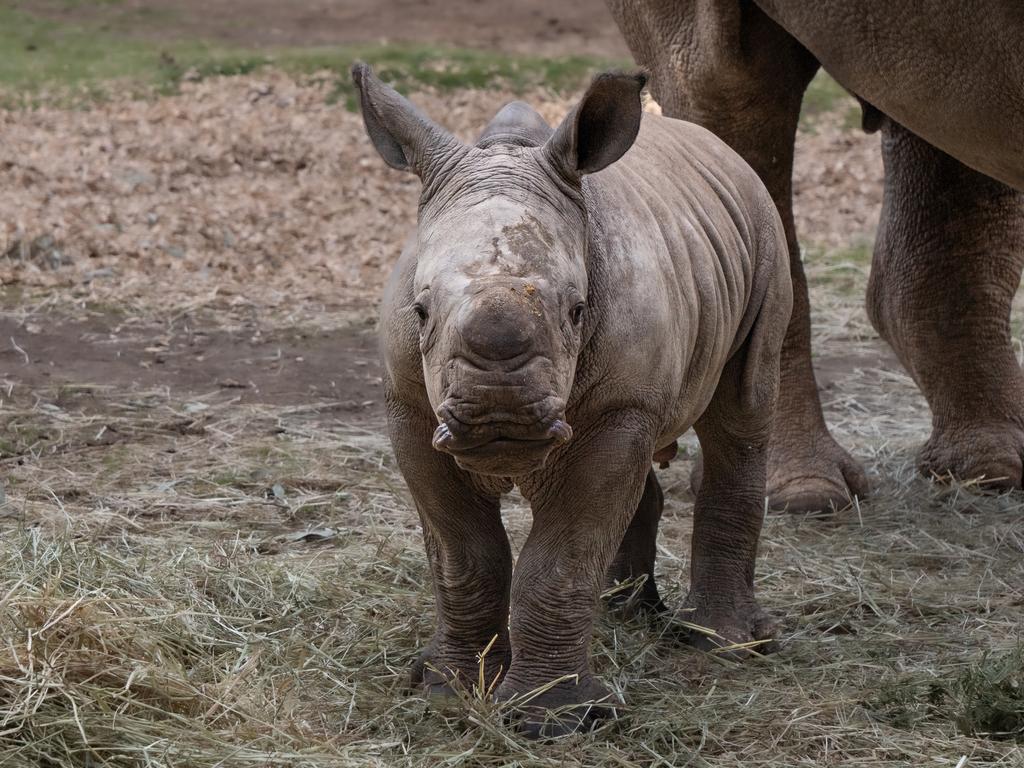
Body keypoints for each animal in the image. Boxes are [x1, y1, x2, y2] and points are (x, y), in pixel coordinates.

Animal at [356, 63, 794, 737]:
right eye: (422, 311)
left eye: (578, 310)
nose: (499, 417)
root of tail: (716, 145)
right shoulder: (409, 404)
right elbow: (463, 553)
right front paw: (447, 688)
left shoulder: (618, 404)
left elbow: (562, 556)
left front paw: (553, 719)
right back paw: (623, 612)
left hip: (764, 229)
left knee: (740, 414)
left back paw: (724, 642)